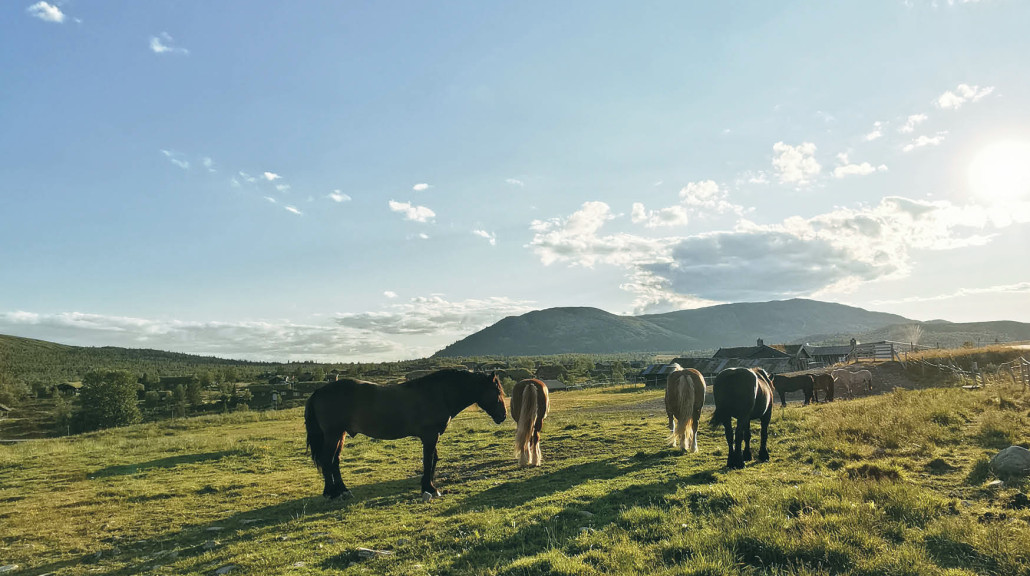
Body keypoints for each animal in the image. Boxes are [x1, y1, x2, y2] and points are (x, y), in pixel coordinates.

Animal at [302, 368, 508, 500]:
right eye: (497, 391)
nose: (503, 415)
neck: (439, 393)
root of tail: (318, 391)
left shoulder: (432, 437)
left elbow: (433, 460)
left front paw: (428, 486)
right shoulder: (430, 436)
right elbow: (428, 460)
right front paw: (429, 488)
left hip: (340, 434)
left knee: (334, 461)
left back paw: (342, 490)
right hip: (333, 434)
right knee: (327, 460)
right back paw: (332, 492)